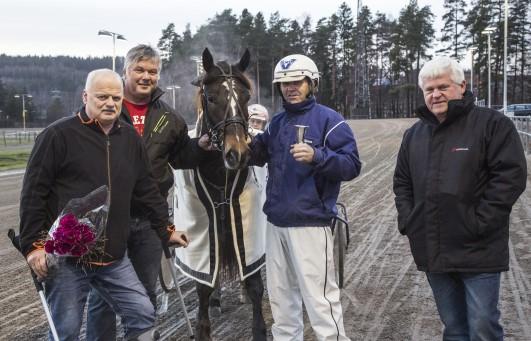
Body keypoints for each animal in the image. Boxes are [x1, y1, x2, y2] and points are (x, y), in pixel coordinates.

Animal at [174, 48, 268, 340]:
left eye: (246, 96)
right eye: (212, 97)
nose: (238, 153)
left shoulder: (248, 227)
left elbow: (254, 280)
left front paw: (258, 327)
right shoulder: (203, 230)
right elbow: (204, 285)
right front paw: (204, 325)